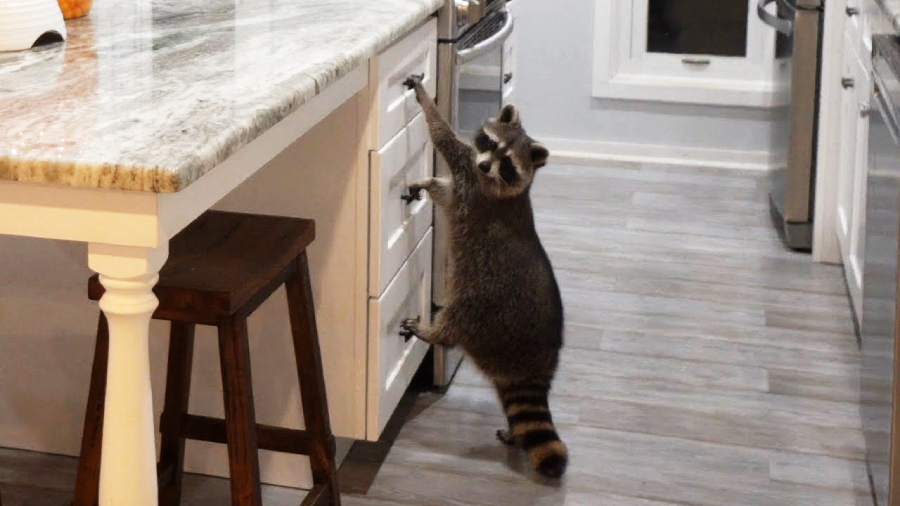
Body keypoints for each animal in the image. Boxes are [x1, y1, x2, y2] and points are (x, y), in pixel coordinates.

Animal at [400, 75, 567, 479]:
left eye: (506, 163)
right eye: (490, 143)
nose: (484, 163)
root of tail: (540, 360)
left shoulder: (472, 181)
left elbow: (444, 138)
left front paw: (426, 101)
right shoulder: (467, 183)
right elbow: (443, 191)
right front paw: (425, 183)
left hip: (484, 304)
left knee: (455, 323)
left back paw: (431, 332)